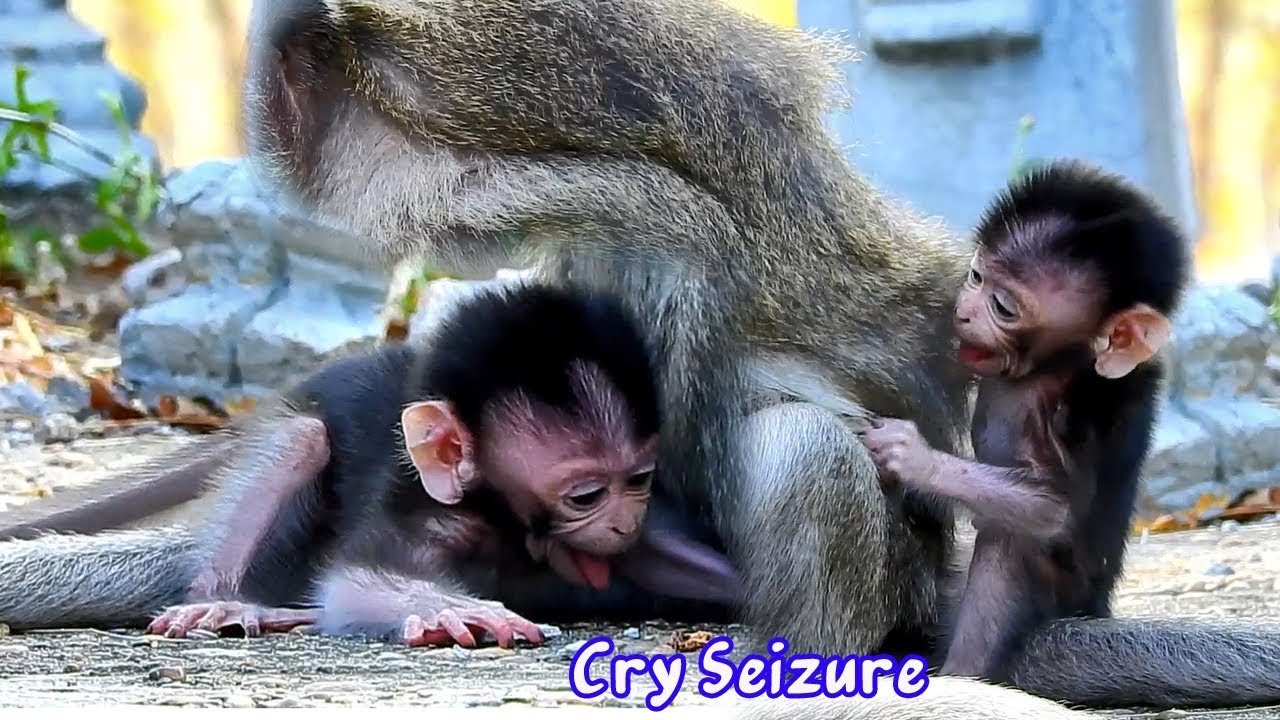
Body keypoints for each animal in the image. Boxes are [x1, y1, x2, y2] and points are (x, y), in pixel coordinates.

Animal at [859, 161, 1191, 683]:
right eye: (975, 276)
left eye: (1004, 308)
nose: (964, 313)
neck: (1052, 366)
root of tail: (1097, 606)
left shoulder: (1061, 413)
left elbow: (1051, 509)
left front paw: (913, 459)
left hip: (1062, 596)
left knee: (1010, 543)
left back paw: (961, 673)